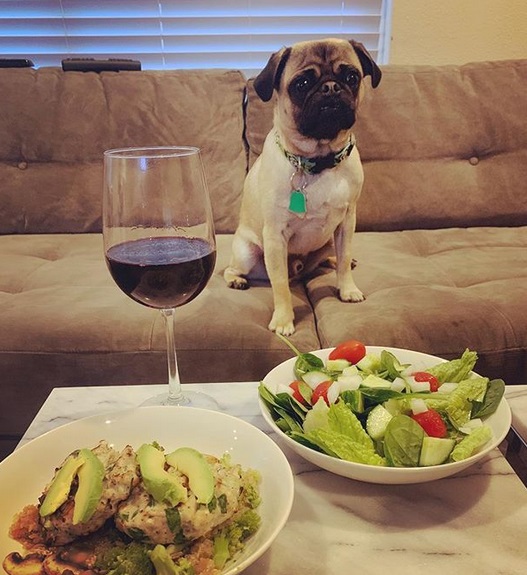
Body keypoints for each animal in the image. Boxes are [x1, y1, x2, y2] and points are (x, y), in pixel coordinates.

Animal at [222, 38, 380, 336]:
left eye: (351, 77)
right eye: (302, 84)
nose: (330, 88)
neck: (319, 160)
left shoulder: (347, 222)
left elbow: (344, 259)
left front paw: (347, 289)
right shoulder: (275, 236)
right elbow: (280, 285)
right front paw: (283, 320)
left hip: (328, 241)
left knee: (329, 260)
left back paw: (330, 262)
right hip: (247, 254)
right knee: (235, 269)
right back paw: (236, 280)